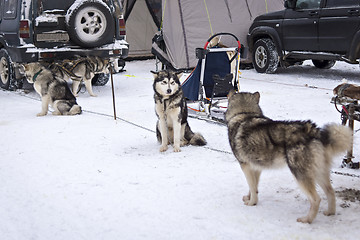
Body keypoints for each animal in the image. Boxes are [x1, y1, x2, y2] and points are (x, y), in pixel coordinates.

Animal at [225, 91, 352, 224]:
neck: (244, 114)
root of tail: (313, 131)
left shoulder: (245, 166)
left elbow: (252, 187)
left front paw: (251, 203)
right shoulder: (256, 168)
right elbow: (254, 187)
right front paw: (249, 197)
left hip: (300, 175)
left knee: (316, 199)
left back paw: (307, 219)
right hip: (319, 172)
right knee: (331, 192)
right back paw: (330, 213)